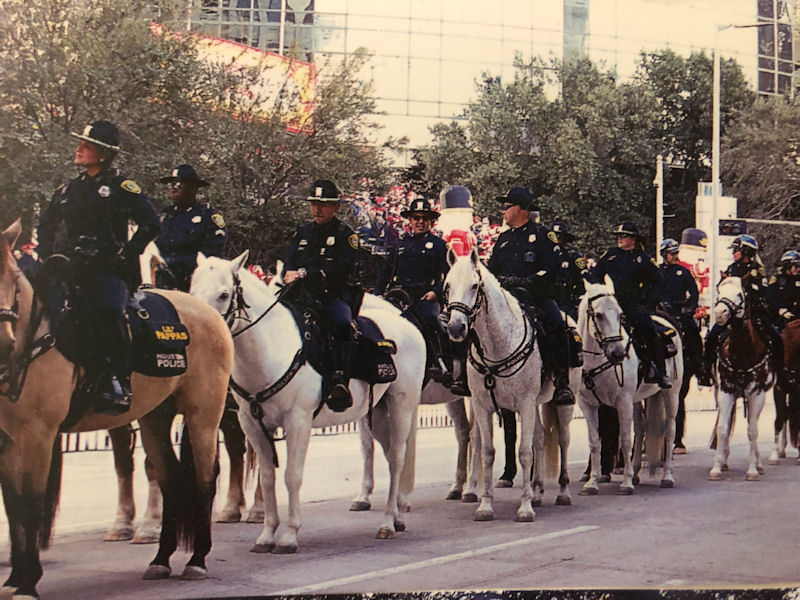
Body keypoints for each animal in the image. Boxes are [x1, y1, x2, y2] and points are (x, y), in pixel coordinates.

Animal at [0, 220, 234, 600]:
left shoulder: (38, 436)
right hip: (155, 417)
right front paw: (15, 578)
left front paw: (28, 581)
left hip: (204, 413)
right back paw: (161, 559)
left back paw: (196, 559)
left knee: (204, 478)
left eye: (10, 278)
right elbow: (14, 505)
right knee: (169, 478)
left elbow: (32, 504)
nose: (5, 343)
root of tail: (207, 312)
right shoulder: (6, 441)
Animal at [191, 251, 424, 552]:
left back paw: (386, 524)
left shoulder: (297, 421)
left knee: (396, 459)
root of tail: (407, 323)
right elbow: (267, 478)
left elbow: (292, 476)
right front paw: (267, 534)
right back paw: (395, 517)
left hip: (401, 407)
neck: (272, 347)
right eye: (192, 291)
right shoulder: (252, 425)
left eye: (223, 294)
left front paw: (289, 535)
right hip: (379, 412)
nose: (203, 333)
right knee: (388, 455)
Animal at [444, 247, 576, 520]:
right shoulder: (483, 406)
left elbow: (524, 452)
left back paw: (563, 493)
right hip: (535, 403)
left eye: (475, 286)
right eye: (447, 285)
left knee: (563, 440)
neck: (498, 343)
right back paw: (538, 492)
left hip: (563, 402)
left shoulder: (524, 404)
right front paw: (485, 505)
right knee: (540, 439)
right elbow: (487, 452)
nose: (456, 328)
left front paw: (524, 507)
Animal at [580, 278, 684, 494]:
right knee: (641, 427)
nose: (619, 354)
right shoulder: (588, 404)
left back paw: (666, 477)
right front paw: (592, 482)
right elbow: (594, 442)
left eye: (620, 315)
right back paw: (635, 472)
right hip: (637, 399)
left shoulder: (623, 400)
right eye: (599, 315)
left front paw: (626, 483)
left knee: (669, 429)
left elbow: (626, 439)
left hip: (671, 393)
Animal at [708, 278, 772, 482]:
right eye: (719, 291)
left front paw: (752, 470)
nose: (719, 313)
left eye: (739, 294)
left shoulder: (756, 394)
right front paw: (716, 467)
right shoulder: (725, 392)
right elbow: (722, 428)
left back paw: (758, 464)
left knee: (754, 425)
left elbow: (752, 431)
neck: (743, 351)